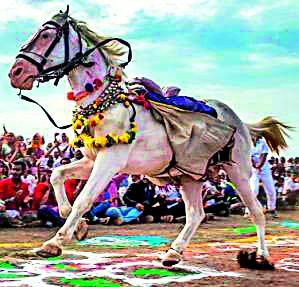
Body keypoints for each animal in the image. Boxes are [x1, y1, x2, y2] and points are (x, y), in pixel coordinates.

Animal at [9, 8, 290, 270]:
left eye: (46, 35)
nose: (16, 73)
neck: (104, 101)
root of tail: (240, 122)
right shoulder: (92, 160)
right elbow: (57, 176)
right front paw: (79, 228)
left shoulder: (109, 161)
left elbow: (84, 199)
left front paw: (54, 242)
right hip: (190, 176)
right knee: (195, 214)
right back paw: (173, 253)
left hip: (238, 171)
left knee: (255, 212)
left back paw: (261, 257)